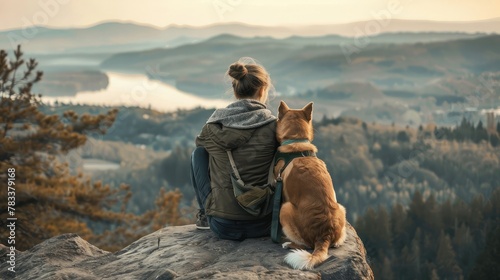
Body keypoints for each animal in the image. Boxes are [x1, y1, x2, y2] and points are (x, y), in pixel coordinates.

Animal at [274, 100, 348, 270]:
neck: (297, 141)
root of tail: (325, 234)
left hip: (285, 208)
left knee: (306, 244)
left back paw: (288, 244)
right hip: (341, 207)